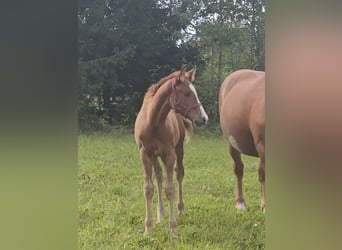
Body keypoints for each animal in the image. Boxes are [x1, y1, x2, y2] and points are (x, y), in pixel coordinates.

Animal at [134, 65, 208, 237]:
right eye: (187, 93)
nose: (204, 118)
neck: (153, 122)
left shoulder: (169, 154)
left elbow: (170, 189)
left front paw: (173, 229)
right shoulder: (145, 154)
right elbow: (148, 188)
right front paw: (148, 228)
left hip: (178, 150)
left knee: (179, 174)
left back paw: (180, 209)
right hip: (155, 156)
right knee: (159, 176)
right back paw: (160, 213)